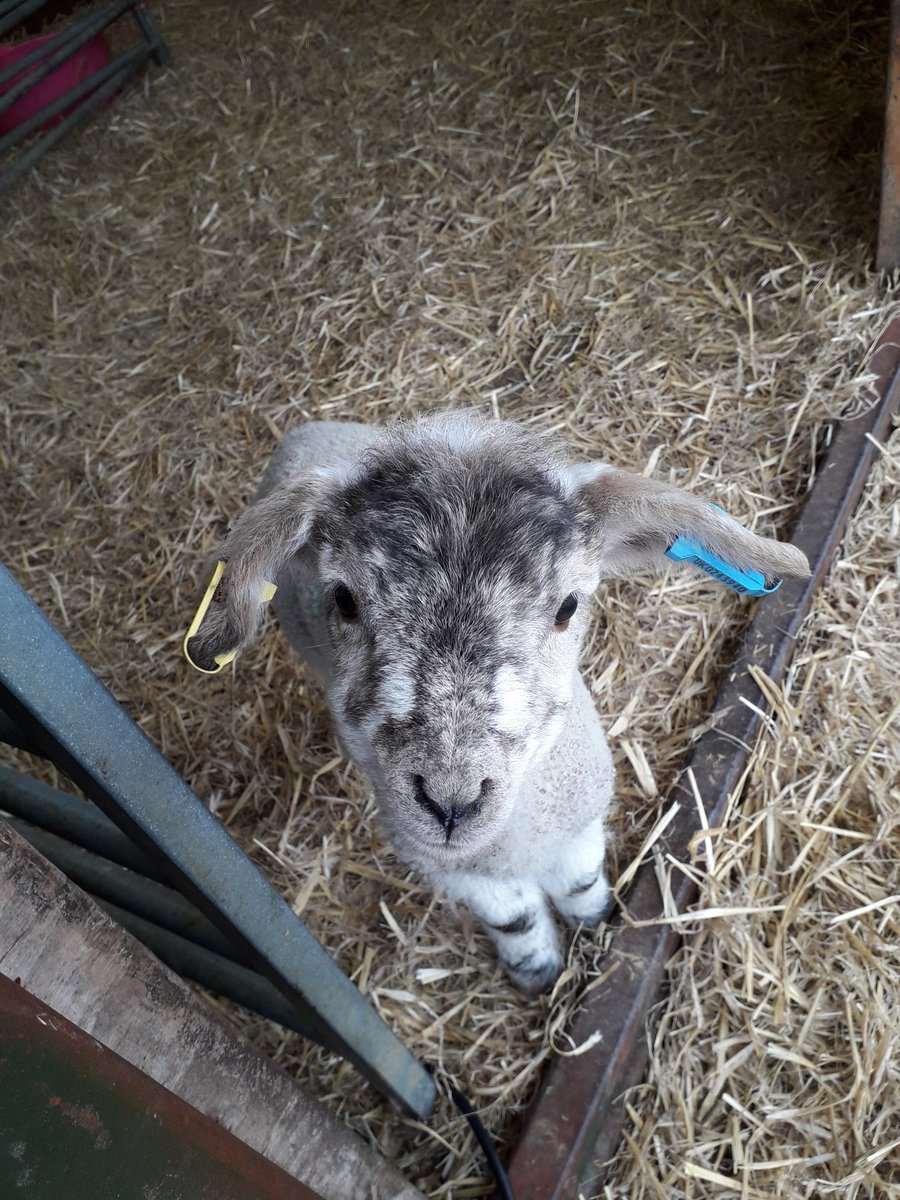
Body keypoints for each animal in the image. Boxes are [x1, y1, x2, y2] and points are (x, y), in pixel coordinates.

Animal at [187, 413, 810, 993]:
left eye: (568, 606)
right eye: (343, 599)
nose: (451, 803)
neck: (518, 840)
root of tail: (308, 429)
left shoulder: (580, 819)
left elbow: (581, 883)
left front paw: (595, 921)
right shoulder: (449, 867)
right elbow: (513, 919)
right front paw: (537, 970)